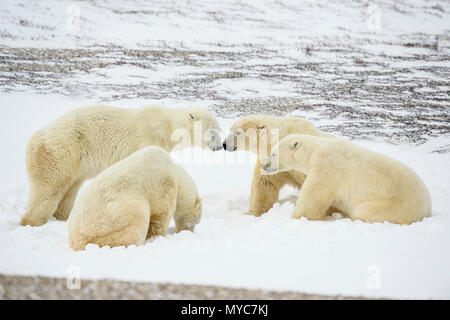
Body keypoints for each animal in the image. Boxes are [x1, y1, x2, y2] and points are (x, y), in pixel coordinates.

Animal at [21, 105, 221, 228]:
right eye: (213, 132)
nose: (220, 147)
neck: (168, 126)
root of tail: (33, 140)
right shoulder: (147, 137)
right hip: (60, 153)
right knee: (48, 189)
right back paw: (33, 221)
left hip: (73, 163)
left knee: (69, 190)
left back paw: (62, 217)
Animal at [67, 146, 201, 251]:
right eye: (196, 222)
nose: (189, 231)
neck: (175, 171)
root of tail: (76, 238)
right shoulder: (163, 185)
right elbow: (159, 215)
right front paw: (156, 237)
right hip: (110, 218)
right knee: (138, 215)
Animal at [264, 134, 432, 224]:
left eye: (273, 154)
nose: (265, 166)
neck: (315, 150)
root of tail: (427, 209)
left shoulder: (327, 168)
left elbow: (312, 198)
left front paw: (296, 215)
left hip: (393, 206)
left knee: (362, 210)